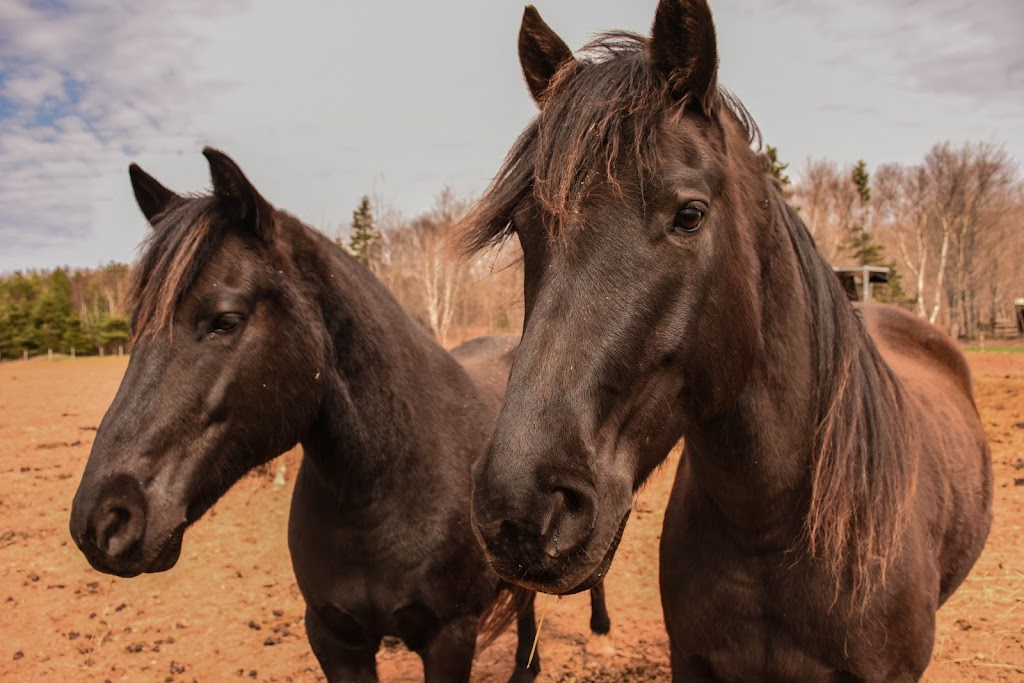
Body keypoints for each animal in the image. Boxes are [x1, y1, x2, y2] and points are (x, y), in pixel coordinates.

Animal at [70, 149, 606, 683]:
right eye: (135, 326)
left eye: (226, 320)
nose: (103, 522)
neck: (385, 494)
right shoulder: (334, 638)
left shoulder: (449, 637)